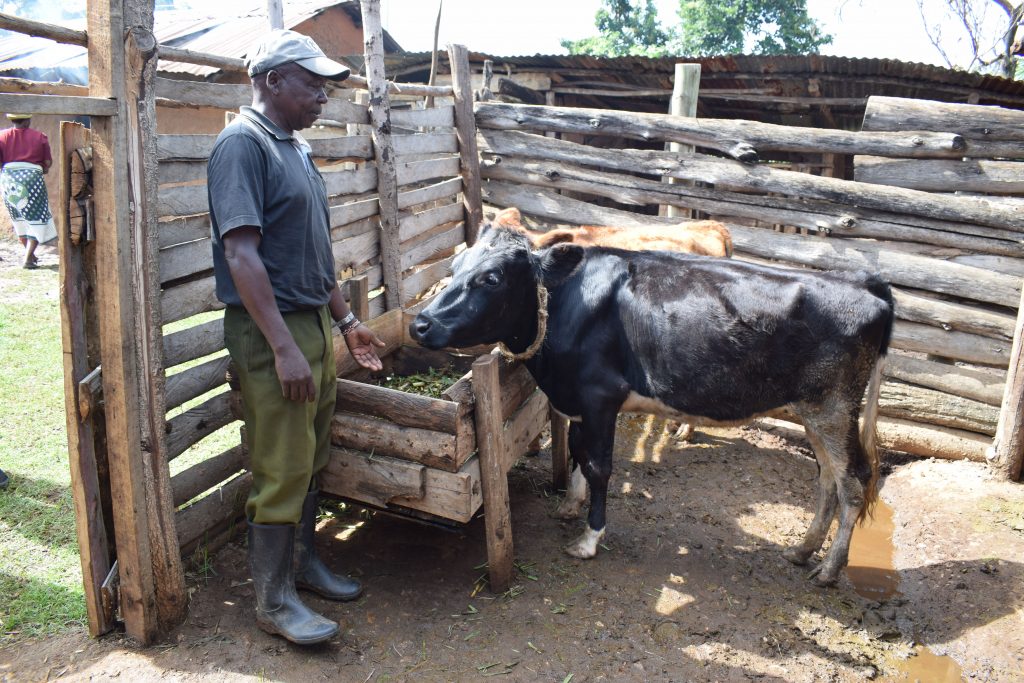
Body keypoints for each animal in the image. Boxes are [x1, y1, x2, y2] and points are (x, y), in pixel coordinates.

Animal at [411, 225, 892, 589]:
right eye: (454, 268)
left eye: (491, 278)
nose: (420, 323)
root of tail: (861, 280)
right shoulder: (579, 401)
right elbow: (579, 453)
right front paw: (571, 505)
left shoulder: (600, 395)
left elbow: (599, 467)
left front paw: (589, 538)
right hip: (815, 411)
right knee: (827, 480)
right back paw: (802, 550)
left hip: (834, 406)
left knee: (854, 482)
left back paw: (829, 570)